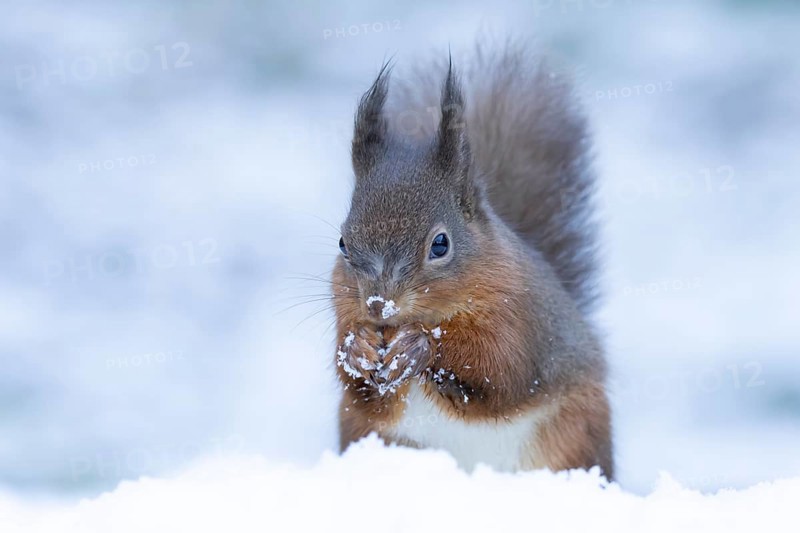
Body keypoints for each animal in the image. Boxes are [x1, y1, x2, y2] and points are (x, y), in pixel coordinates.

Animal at [331, 44, 613, 479]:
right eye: (343, 242)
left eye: (440, 244)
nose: (378, 305)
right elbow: (368, 396)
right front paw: (358, 348)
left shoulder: (518, 320)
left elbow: (499, 375)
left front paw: (419, 347)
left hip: (575, 435)